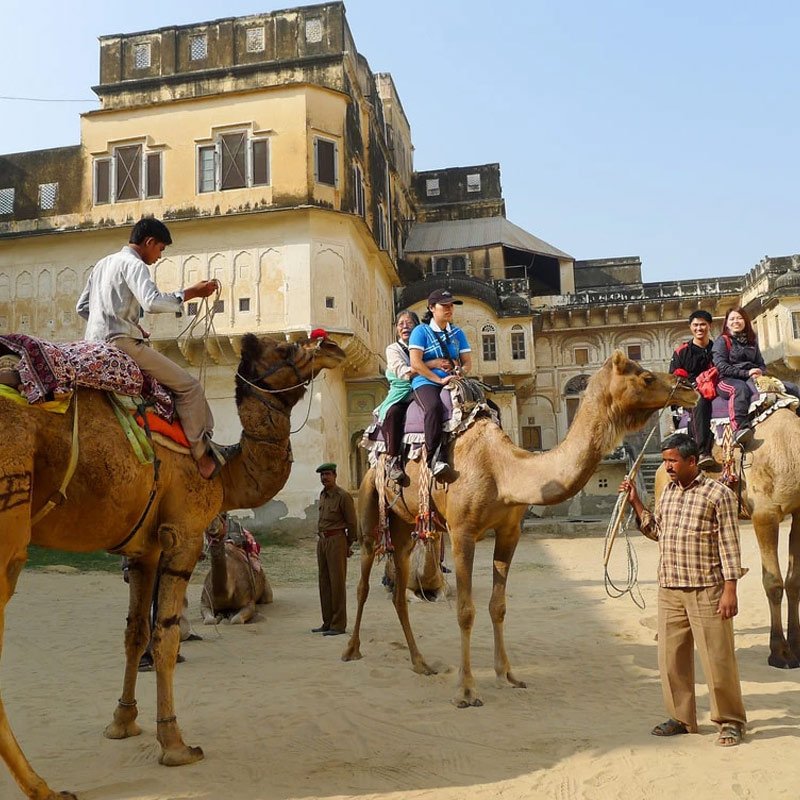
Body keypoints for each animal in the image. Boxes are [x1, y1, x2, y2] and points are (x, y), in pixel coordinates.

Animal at [0, 332, 345, 800]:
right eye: (286, 349)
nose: (332, 347)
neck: (223, 471)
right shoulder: (183, 535)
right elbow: (166, 638)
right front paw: (175, 743)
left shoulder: (142, 551)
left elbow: (135, 634)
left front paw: (123, 722)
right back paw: (44, 788)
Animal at [342, 351, 697, 707]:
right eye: (646, 377)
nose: (689, 387)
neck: (503, 471)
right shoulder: (462, 532)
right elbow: (465, 610)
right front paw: (466, 690)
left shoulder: (509, 531)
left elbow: (498, 606)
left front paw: (508, 675)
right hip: (371, 505)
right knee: (363, 581)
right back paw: (351, 649)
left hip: (404, 524)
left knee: (398, 588)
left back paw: (420, 663)